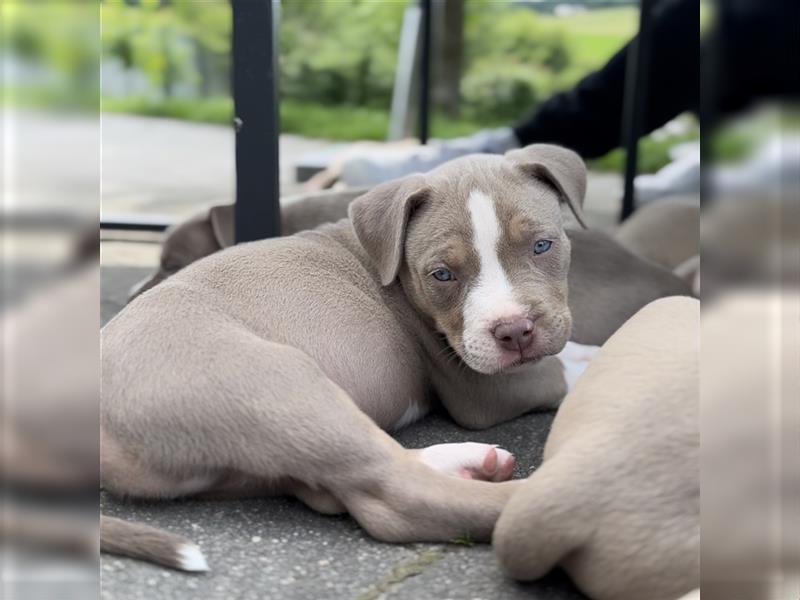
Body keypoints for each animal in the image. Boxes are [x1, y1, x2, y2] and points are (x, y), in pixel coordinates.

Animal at [100, 145, 688, 572]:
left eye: (543, 245)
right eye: (442, 274)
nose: (515, 332)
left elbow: (568, 348)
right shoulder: (482, 383)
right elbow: (563, 367)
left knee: (341, 482)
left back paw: (468, 463)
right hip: (276, 381)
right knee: (395, 499)